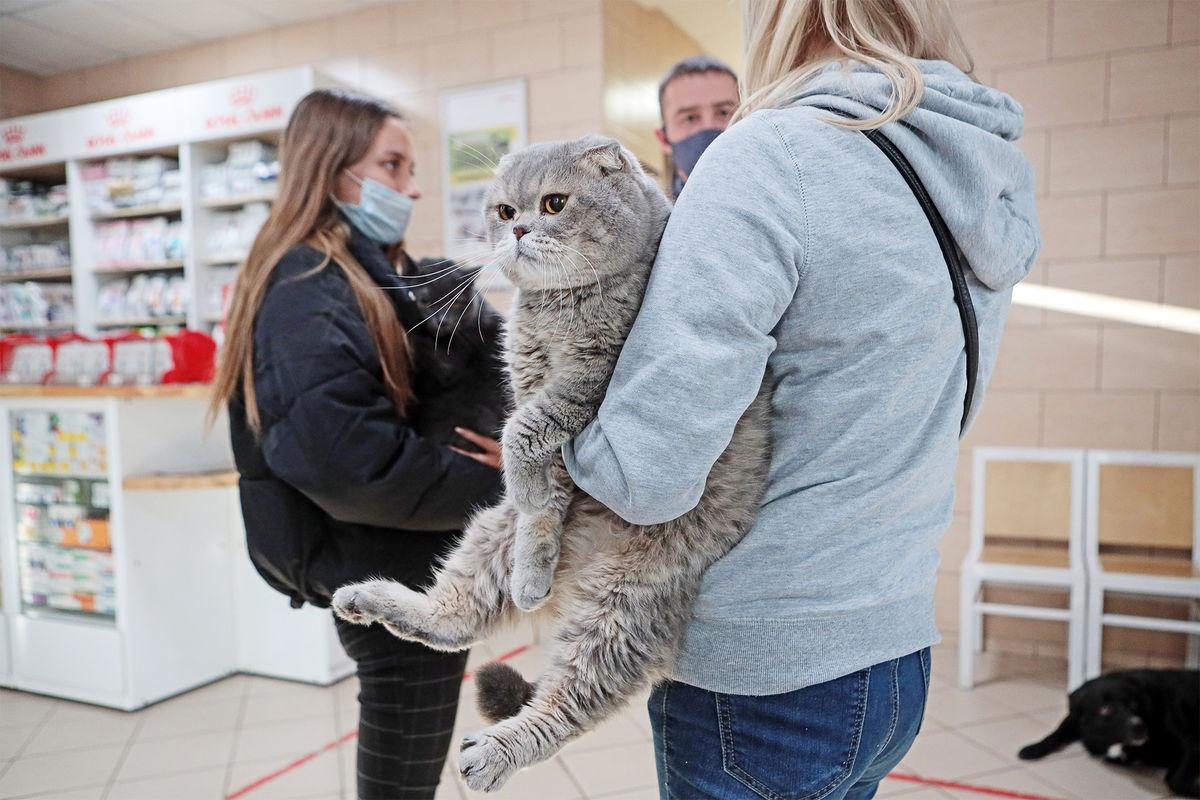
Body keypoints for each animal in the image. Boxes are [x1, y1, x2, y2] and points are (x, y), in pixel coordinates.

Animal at [333, 134, 772, 791]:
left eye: (554, 204)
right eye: (505, 210)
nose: (517, 231)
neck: (553, 311)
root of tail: (581, 575)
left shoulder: (588, 385)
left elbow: (520, 435)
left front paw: (529, 508)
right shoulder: (533, 394)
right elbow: (540, 498)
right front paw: (535, 557)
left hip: (622, 611)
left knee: (566, 705)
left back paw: (495, 750)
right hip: (491, 532)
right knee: (453, 619)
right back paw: (386, 599)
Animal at [1022, 671, 1200, 796]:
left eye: (1133, 703)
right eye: (1105, 709)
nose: (1139, 727)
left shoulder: (1191, 746)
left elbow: (1174, 780)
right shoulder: (1073, 720)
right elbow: (1055, 733)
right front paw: (1033, 748)